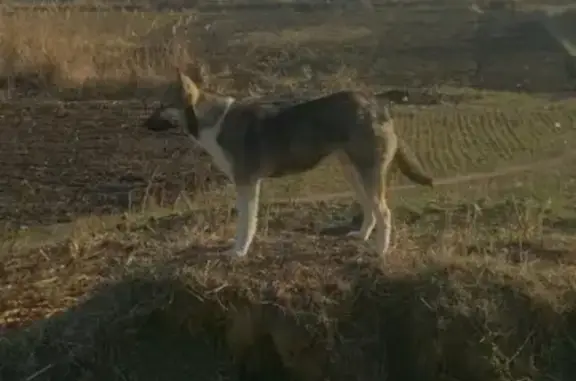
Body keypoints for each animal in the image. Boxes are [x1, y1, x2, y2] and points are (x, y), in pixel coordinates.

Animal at [143, 69, 432, 256]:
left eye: (163, 105)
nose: (143, 125)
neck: (212, 121)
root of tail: (377, 101)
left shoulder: (247, 184)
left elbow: (246, 223)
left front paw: (239, 251)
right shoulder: (247, 185)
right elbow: (247, 220)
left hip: (367, 173)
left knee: (384, 212)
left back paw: (381, 251)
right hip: (352, 172)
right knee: (371, 210)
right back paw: (362, 236)